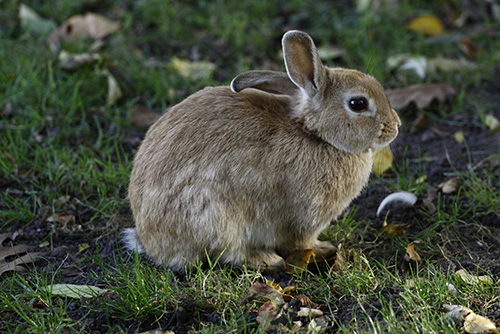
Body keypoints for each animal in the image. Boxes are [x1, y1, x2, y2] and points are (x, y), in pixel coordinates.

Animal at [123, 30, 400, 272]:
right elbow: (301, 242)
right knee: (229, 253)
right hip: (218, 218)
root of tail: (150, 243)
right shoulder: (303, 221)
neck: (315, 135)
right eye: (358, 104)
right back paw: (266, 259)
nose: (396, 126)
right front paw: (324, 248)